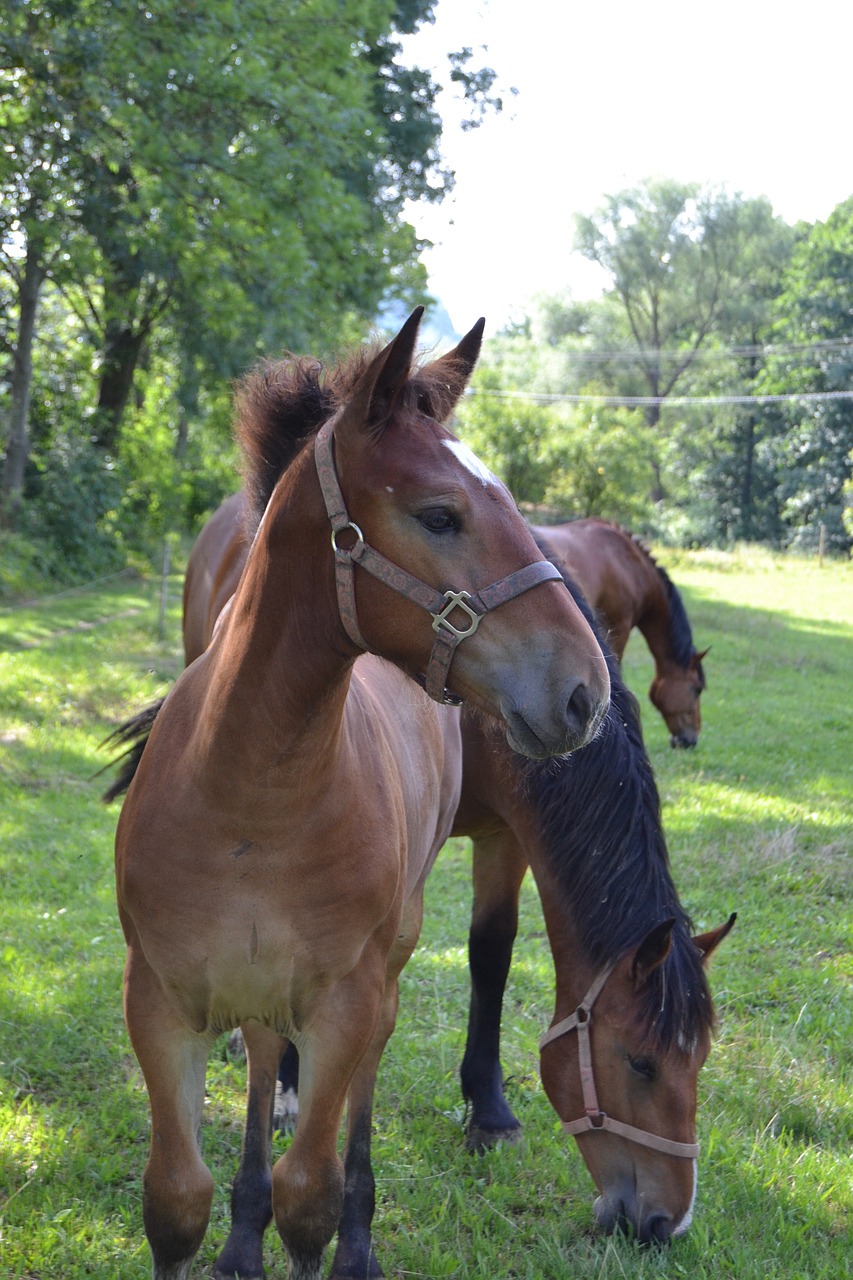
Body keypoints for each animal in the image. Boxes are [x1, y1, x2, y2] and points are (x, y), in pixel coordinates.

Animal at [109, 312, 607, 1280]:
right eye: (440, 514)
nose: (582, 690)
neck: (249, 800)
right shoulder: (160, 998)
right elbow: (174, 1202)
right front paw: (230, 1230)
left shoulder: (343, 999)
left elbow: (311, 1196)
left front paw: (334, 1234)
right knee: (267, 1053)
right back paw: (243, 1232)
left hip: (388, 961)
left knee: (366, 1072)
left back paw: (357, 1239)